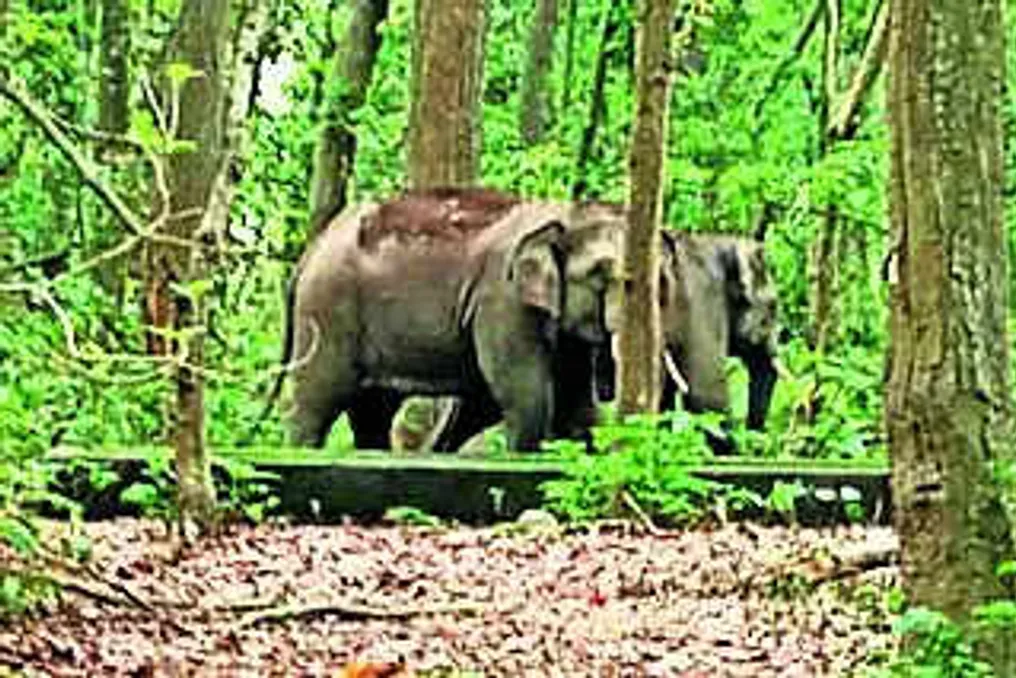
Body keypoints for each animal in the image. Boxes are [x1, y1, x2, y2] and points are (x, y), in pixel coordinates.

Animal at [262, 187, 631, 452]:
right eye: (601, 273)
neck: (564, 212)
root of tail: (314, 248)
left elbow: (577, 404)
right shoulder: (502, 299)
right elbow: (527, 394)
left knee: (373, 412)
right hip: (326, 313)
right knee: (315, 405)